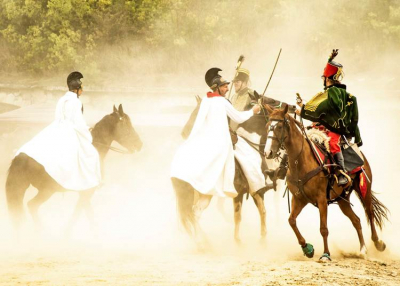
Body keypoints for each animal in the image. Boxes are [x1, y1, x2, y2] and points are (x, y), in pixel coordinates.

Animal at [5, 104, 142, 235]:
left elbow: (81, 211)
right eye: (127, 126)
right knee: (32, 205)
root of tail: (20, 157)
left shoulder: (84, 193)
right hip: (47, 190)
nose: (140, 144)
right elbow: (84, 213)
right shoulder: (87, 192)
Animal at [177, 95, 292, 244]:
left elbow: (240, 215)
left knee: (189, 214)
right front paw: (261, 239)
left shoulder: (241, 193)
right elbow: (259, 212)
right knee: (195, 212)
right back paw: (203, 241)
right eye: (271, 101)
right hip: (204, 194)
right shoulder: (255, 190)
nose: (292, 107)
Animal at [262, 104, 388, 262]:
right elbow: (291, 220)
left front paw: (326, 254)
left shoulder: (321, 199)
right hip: (342, 199)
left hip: (364, 190)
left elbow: (323, 228)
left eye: (279, 126)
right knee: (357, 220)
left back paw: (378, 243)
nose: (268, 152)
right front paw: (307, 249)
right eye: (267, 126)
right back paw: (362, 249)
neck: (301, 161)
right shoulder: (299, 198)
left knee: (369, 214)